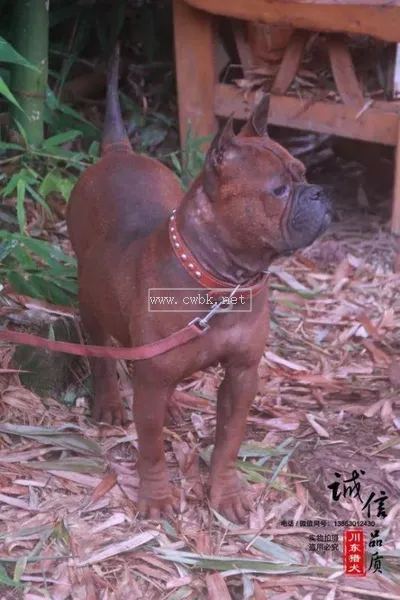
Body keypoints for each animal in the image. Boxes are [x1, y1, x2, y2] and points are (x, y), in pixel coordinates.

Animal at [68, 48, 332, 520]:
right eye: (279, 190)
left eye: (303, 174)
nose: (319, 193)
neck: (221, 282)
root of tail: (119, 151)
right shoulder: (154, 383)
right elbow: (151, 448)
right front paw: (156, 498)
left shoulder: (242, 375)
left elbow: (228, 442)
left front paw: (224, 493)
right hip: (92, 302)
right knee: (102, 355)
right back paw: (111, 402)